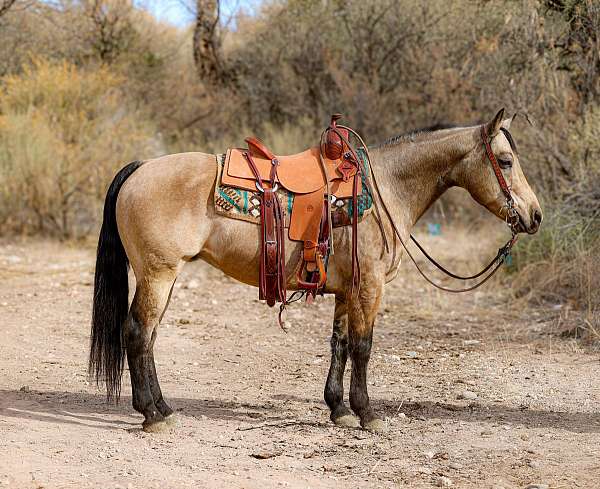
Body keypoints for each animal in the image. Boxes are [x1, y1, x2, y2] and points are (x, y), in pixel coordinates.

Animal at [89, 109, 544, 430]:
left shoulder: (347, 290)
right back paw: (152, 415)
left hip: (163, 278)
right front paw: (367, 414)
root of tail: (141, 167)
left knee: (148, 337)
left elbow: (339, 344)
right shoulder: (370, 287)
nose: (535, 216)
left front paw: (338, 409)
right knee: (137, 333)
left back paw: (163, 407)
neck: (386, 189)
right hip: (158, 274)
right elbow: (363, 347)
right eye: (505, 161)